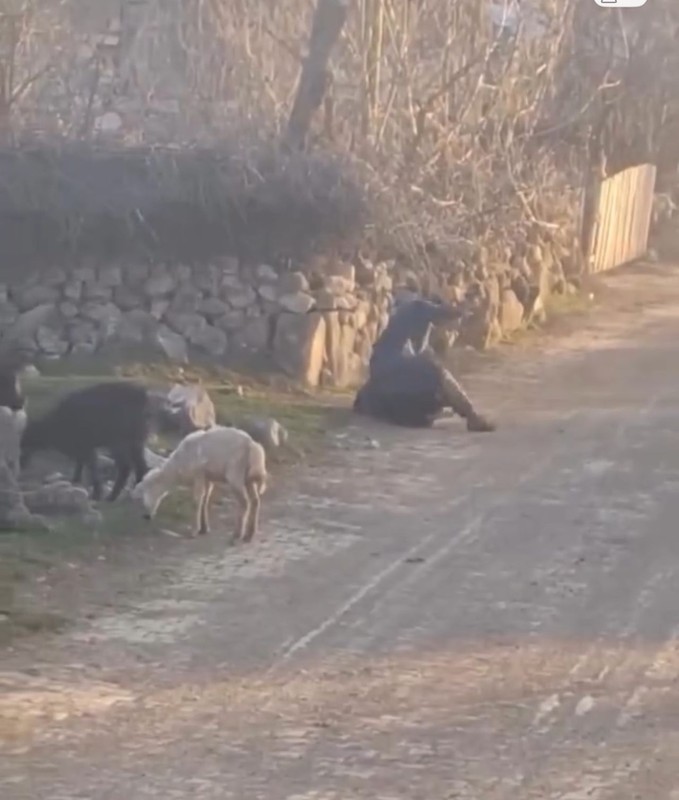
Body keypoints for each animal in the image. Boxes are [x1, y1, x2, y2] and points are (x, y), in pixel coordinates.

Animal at [20, 382, 152, 500]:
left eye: (23, 443)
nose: (21, 465)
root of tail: (143, 397)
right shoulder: (82, 446)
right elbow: (80, 464)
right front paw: (75, 481)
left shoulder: (85, 446)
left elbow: (91, 467)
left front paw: (96, 493)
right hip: (137, 439)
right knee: (141, 465)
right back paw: (137, 492)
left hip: (119, 440)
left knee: (126, 466)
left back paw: (112, 497)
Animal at [131, 424, 270, 544]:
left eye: (147, 489)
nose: (146, 516)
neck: (177, 469)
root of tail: (252, 445)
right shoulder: (206, 478)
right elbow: (204, 501)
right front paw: (204, 528)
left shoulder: (198, 475)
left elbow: (196, 502)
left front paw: (193, 531)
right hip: (248, 478)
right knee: (255, 501)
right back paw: (249, 534)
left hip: (235, 473)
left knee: (244, 502)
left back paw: (237, 534)